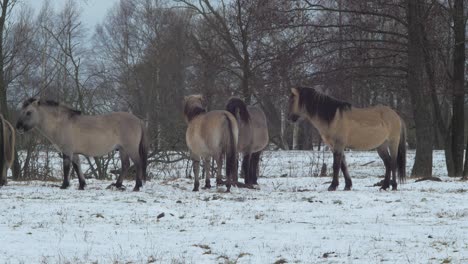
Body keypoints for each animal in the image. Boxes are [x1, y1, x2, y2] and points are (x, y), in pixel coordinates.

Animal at [16, 98, 146, 191]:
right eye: (21, 111)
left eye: (28, 112)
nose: (18, 127)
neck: (61, 123)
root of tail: (138, 120)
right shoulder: (74, 152)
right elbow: (77, 166)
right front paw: (82, 185)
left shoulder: (67, 151)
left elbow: (67, 168)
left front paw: (64, 185)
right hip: (122, 149)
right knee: (125, 165)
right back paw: (117, 185)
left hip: (130, 148)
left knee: (138, 163)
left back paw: (136, 186)